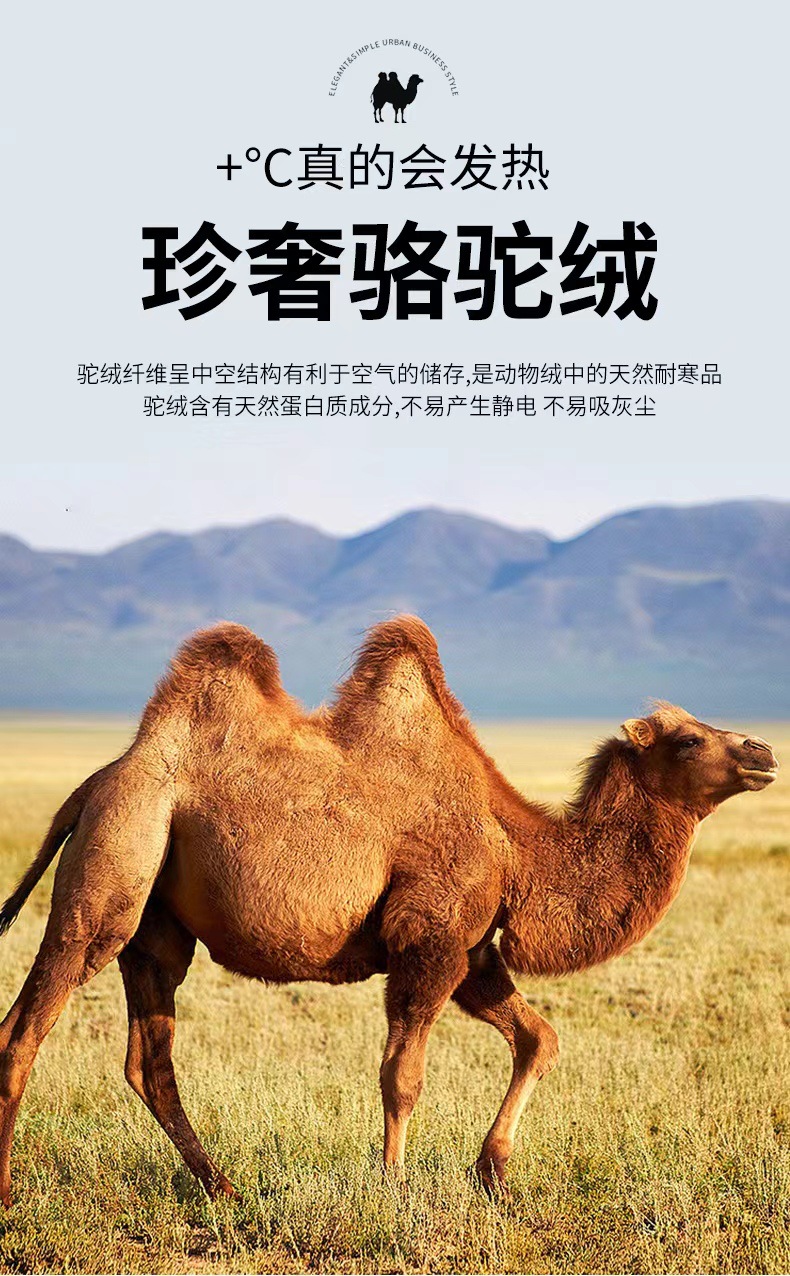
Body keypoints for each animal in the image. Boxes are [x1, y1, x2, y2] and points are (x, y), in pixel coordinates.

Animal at [0, 617, 778, 1205]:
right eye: (688, 739)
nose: (763, 749)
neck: (516, 849)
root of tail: (96, 783)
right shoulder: (427, 939)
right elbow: (402, 1075)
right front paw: (394, 1184)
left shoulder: (471, 948)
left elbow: (539, 1039)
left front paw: (492, 1173)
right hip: (117, 860)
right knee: (27, 1026)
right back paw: (12, 1192)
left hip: (157, 924)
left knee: (148, 1061)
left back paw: (224, 1188)